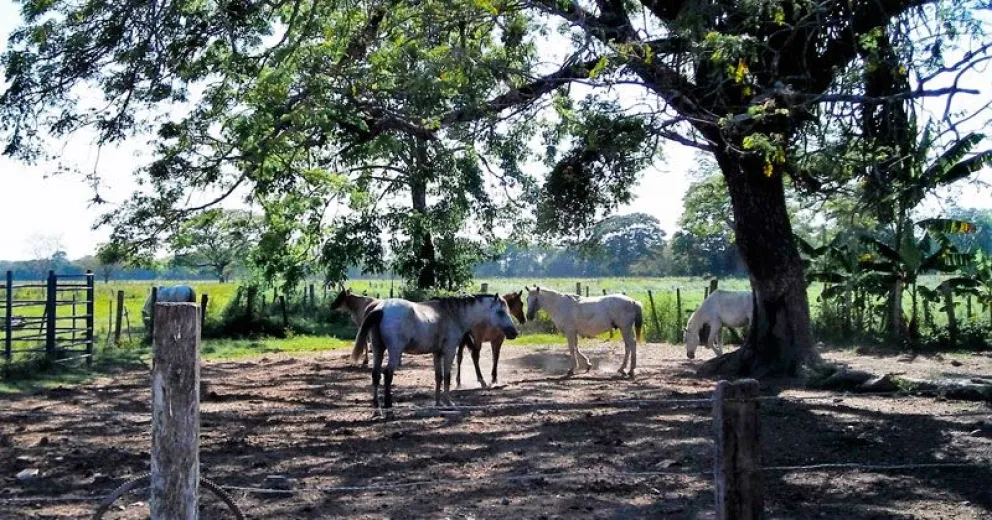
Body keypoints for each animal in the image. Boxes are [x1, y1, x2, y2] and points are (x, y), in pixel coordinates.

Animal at [351, 294, 519, 417]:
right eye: (500, 312)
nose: (514, 332)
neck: (452, 314)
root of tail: (380, 309)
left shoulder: (437, 353)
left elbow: (439, 377)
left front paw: (438, 403)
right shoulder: (449, 351)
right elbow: (447, 377)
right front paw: (449, 403)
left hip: (378, 349)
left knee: (376, 375)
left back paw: (377, 410)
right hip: (394, 351)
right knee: (387, 374)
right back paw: (389, 408)